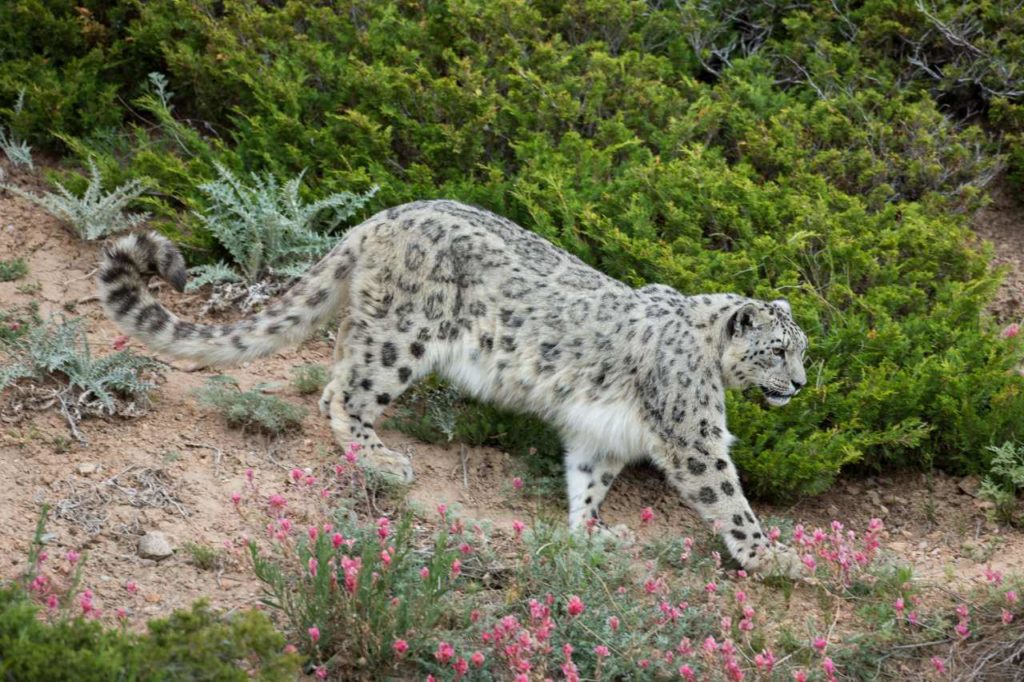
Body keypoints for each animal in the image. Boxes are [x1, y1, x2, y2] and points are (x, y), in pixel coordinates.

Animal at [99, 197, 811, 573]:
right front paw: (770, 557)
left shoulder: (601, 432)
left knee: (339, 360)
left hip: (375, 326)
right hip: (404, 338)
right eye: (778, 350)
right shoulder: (695, 433)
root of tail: (381, 218)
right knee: (345, 393)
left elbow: (589, 477)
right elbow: (726, 493)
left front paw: (591, 530)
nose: (801, 384)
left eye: (803, 350)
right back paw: (381, 460)